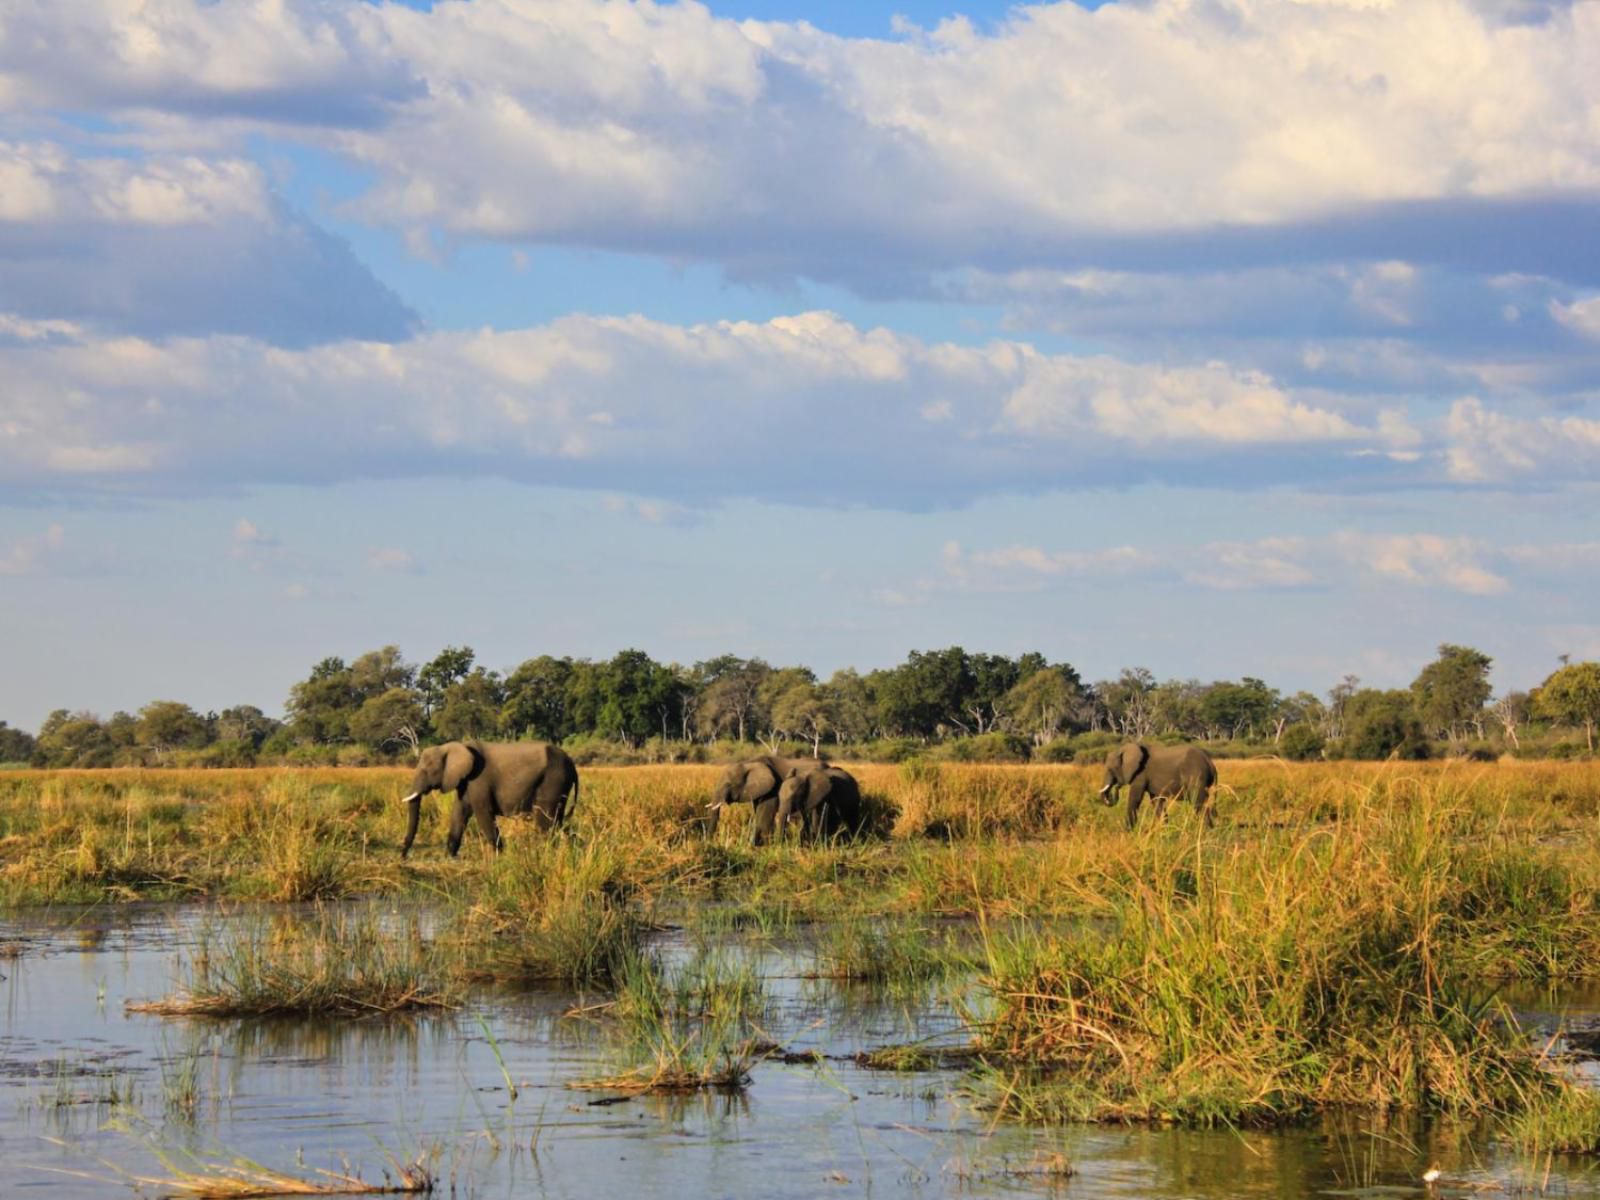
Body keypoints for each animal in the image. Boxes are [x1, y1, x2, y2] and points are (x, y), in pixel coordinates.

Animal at [400, 739, 582, 857]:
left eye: (426, 771)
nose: (403, 856)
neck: (451, 746)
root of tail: (572, 764)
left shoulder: (479, 779)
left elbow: (483, 813)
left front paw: (499, 857)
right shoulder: (466, 781)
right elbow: (459, 812)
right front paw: (449, 857)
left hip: (553, 780)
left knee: (546, 822)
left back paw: (546, 853)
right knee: (557, 822)